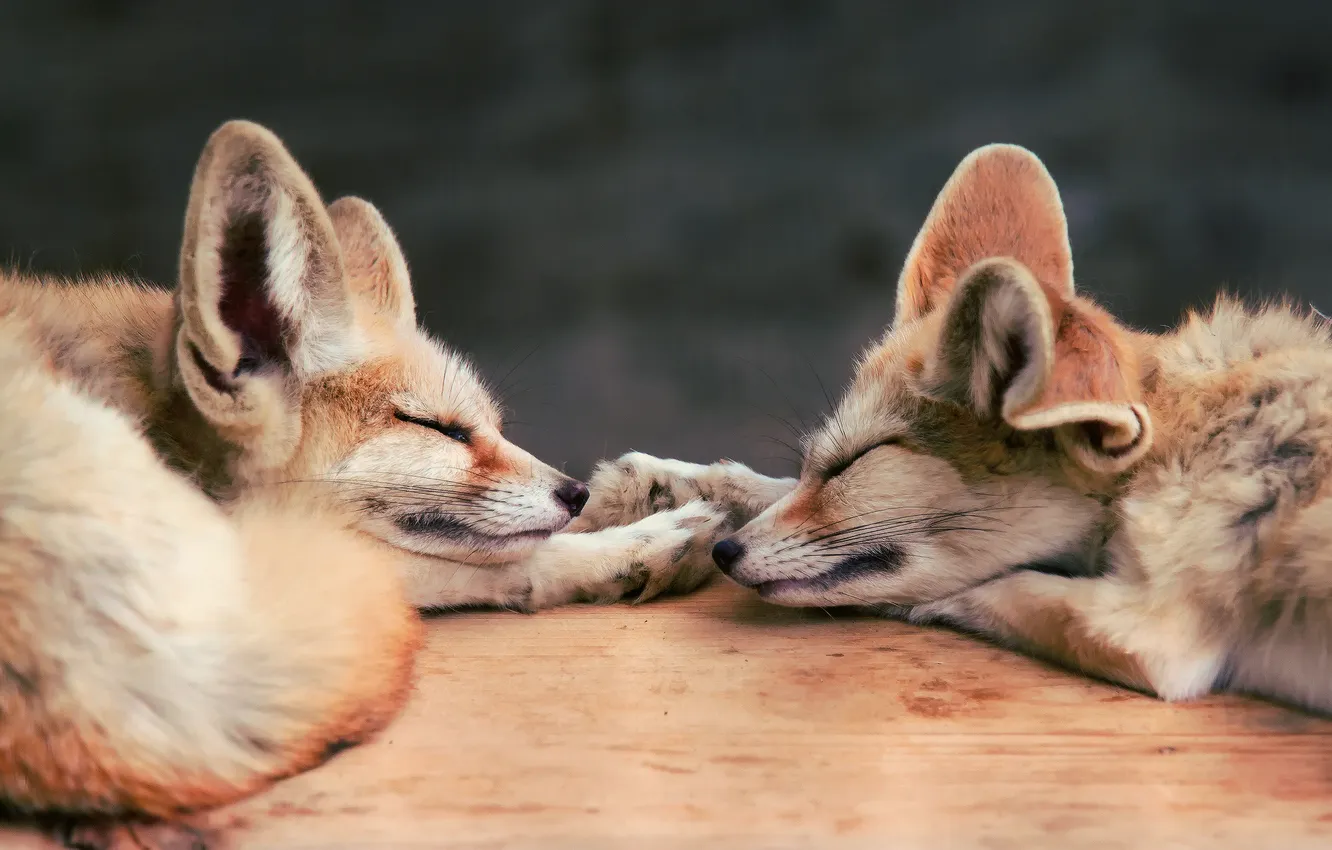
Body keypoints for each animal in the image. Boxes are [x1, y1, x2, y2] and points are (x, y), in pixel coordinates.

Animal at [0, 119, 725, 831]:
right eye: (437, 426)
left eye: (492, 425)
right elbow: (496, 561)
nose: (574, 494)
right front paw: (631, 542)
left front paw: (645, 492)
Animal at [574, 143, 1332, 715]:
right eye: (827, 459)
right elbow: (769, 488)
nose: (728, 553)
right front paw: (663, 493)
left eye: (858, 461)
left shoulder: (1154, 633)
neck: (1182, 438)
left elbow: (970, 589)